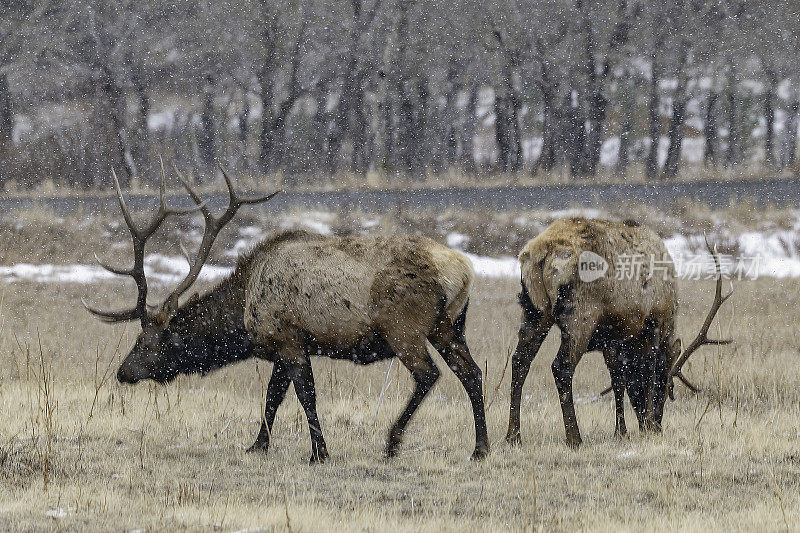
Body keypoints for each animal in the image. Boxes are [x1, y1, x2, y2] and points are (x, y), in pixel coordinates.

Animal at [86, 162, 488, 462]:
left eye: (144, 341)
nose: (123, 372)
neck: (244, 317)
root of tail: (463, 271)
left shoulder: (290, 339)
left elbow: (305, 395)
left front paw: (319, 453)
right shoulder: (282, 349)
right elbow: (272, 397)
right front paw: (257, 445)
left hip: (404, 328)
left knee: (429, 374)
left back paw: (392, 442)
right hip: (449, 325)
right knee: (471, 371)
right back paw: (480, 448)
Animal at [506, 218, 732, 446]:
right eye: (669, 386)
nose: (658, 426)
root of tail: (542, 251)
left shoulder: (613, 340)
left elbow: (618, 381)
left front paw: (621, 431)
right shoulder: (653, 323)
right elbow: (647, 371)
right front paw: (647, 424)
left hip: (534, 310)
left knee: (519, 361)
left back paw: (513, 435)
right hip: (580, 316)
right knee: (561, 367)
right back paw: (574, 438)